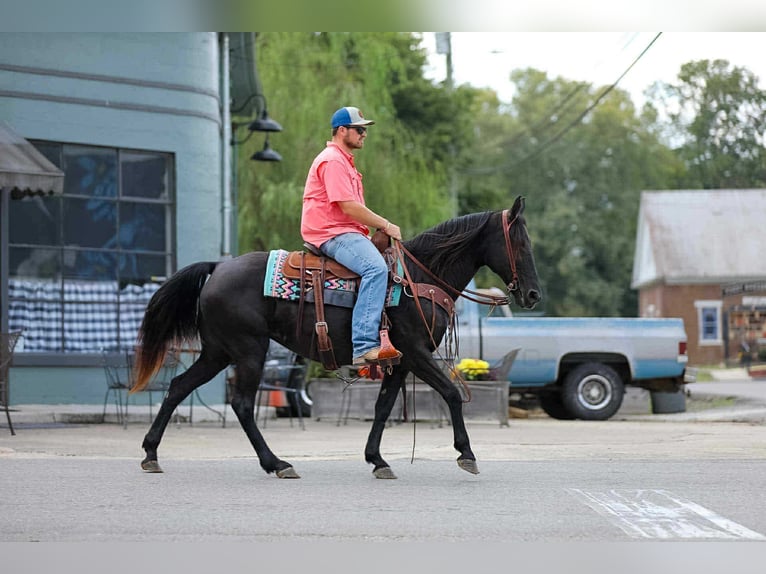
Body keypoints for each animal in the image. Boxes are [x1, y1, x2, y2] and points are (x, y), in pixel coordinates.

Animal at [131, 195, 541, 479]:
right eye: (521, 244)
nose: (534, 294)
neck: (419, 278)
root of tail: (218, 267)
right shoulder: (417, 352)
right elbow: (453, 394)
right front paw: (466, 454)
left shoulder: (399, 361)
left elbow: (383, 407)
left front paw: (377, 460)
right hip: (248, 350)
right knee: (243, 404)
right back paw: (277, 463)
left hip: (218, 351)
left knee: (179, 387)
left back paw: (151, 454)